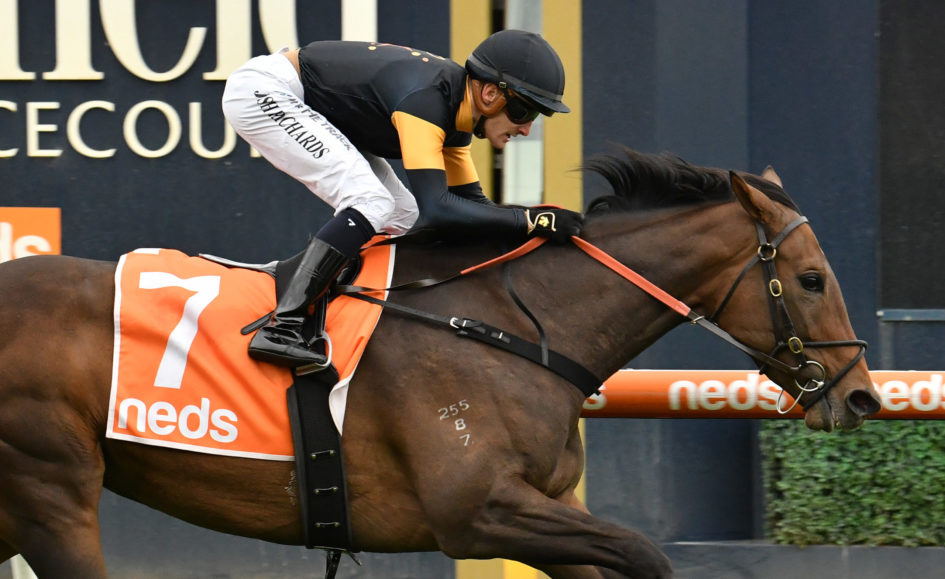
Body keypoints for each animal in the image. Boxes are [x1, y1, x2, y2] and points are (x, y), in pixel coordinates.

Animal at [0, 147, 882, 578]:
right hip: (50, 491)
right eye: (810, 278)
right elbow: (646, 553)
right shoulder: (476, 509)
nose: (863, 397)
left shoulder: (540, 513)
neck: (509, 324)